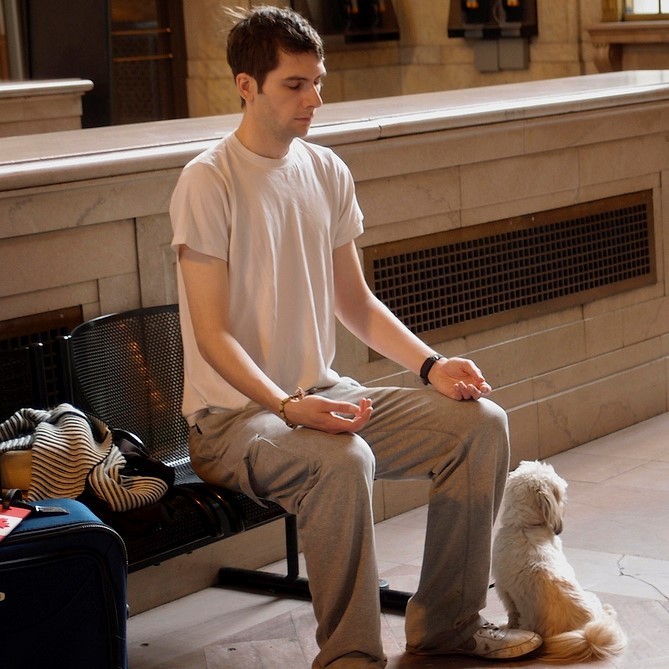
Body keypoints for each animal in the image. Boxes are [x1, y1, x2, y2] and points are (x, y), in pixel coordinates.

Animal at [490, 456, 628, 660]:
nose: (565, 502)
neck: (524, 528)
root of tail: (585, 635)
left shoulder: (503, 589)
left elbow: (512, 614)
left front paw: (508, 627)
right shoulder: (503, 590)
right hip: (590, 598)